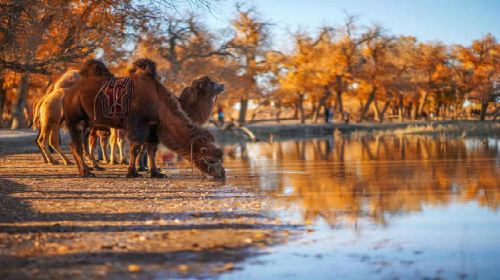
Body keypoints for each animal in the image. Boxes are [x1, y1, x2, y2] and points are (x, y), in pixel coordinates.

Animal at [63, 58, 226, 178]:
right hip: (77, 118)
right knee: (78, 144)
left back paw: (88, 169)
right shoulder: (138, 124)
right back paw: (87, 171)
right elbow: (136, 148)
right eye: (211, 158)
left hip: (88, 122)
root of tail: (70, 91)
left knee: (79, 143)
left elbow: (151, 149)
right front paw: (133, 172)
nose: (221, 174)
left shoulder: (153, 126)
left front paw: (156, 173)